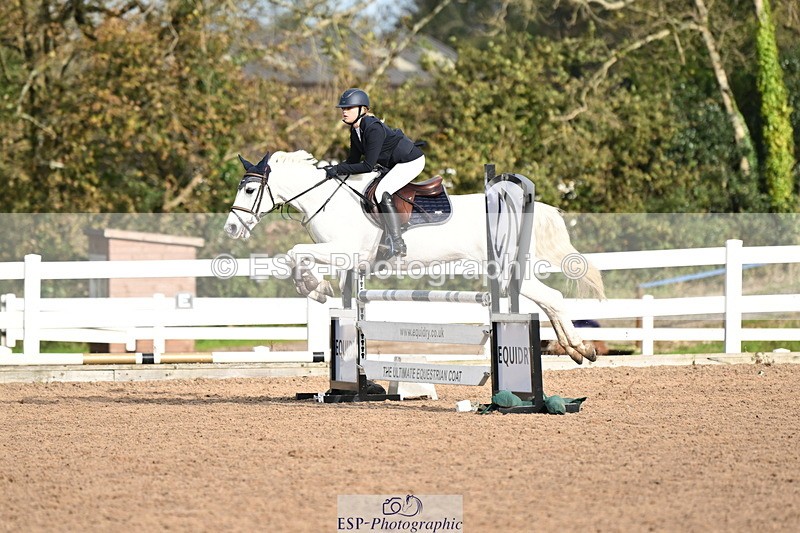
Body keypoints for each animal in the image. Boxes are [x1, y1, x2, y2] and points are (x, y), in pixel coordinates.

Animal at [224, 150, 605, 364]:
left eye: (250, 189)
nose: (230, 228)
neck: (326, 200)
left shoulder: (344, 251)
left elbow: (294, 254)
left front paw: (315, 289)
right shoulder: (345, 259)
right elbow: (297, 258)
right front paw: (317, 288)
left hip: (506, 269)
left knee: (553, 298)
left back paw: (580, 348)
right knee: (549, 301)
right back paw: (575, 349)